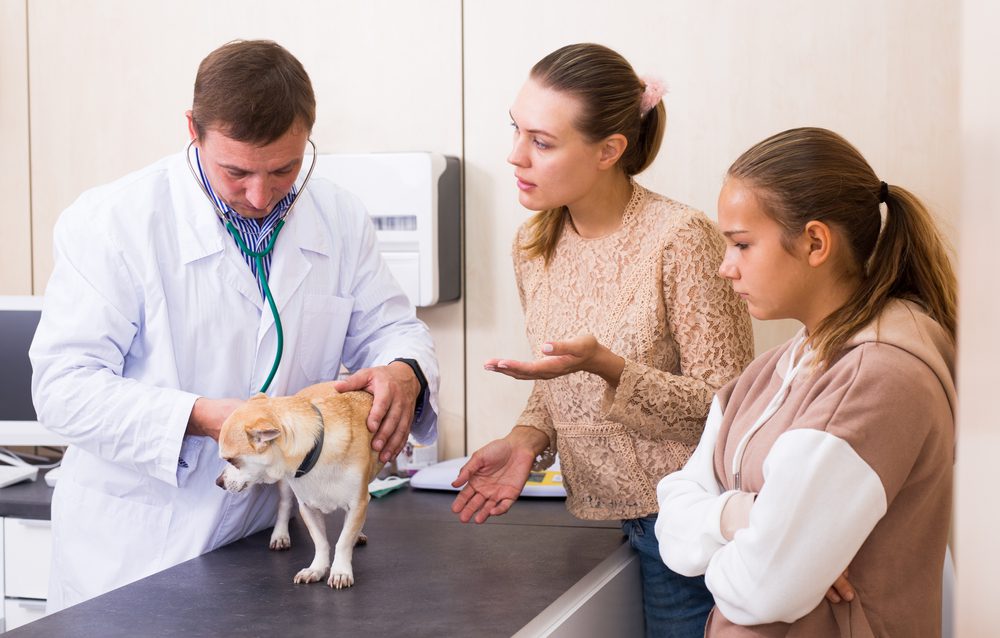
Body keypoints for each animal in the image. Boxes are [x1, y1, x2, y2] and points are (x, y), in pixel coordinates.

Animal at [216, 382, 382, 592]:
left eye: (231, 460)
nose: (218, 482)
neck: (317, 452)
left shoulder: (358, 503)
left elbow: (343, 541)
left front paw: (340, 571)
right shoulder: (307, 508)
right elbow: (320, 541)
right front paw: (316, 569)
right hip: (287, 487)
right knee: (284, 505)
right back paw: (280, 535)